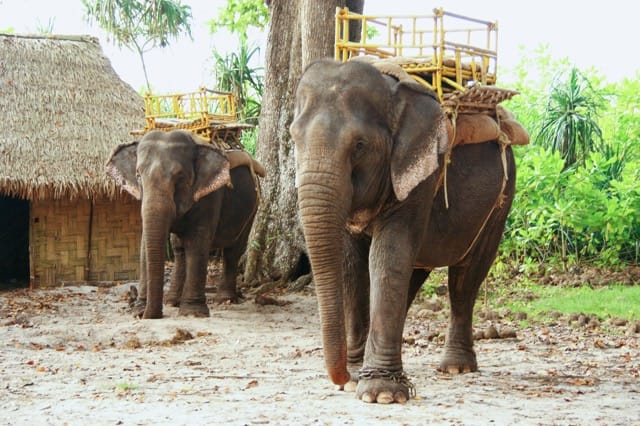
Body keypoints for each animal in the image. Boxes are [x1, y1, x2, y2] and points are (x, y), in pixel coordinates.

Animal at [106, 129, 264, 319]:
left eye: (180, 176)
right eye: (138, 175)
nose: (149, 314)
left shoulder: (210, 194)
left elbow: (197, 241)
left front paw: (192, 313)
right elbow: (144, 245)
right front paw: (138, 311)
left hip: (252, 209)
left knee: (233, 251)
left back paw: (225, 300)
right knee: (179, 250)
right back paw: (172, 301)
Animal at [290, 58, 518, 404]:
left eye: (359, 145)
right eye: (293, 138)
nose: (342, 377)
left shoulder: (421, 174)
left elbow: (388, 255)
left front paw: (380, 394)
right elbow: (351, 264)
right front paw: (357, 379)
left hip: (501, 202)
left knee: (465, 278)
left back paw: (456, 368)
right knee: (415, 273)